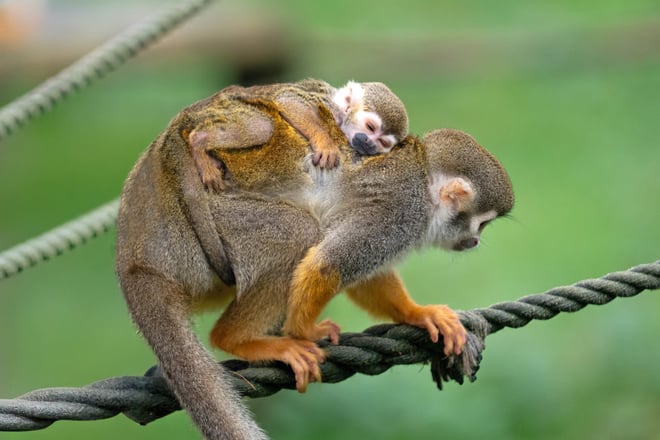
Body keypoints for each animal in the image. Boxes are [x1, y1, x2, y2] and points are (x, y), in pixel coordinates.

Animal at [187, 79, 409, 192]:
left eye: (382, 142)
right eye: (370, 127)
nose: (369, 143)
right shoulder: (327, 105)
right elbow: (289, 100)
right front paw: (326, 144)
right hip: (228, 107)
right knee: (262, 126)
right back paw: (199, 142)